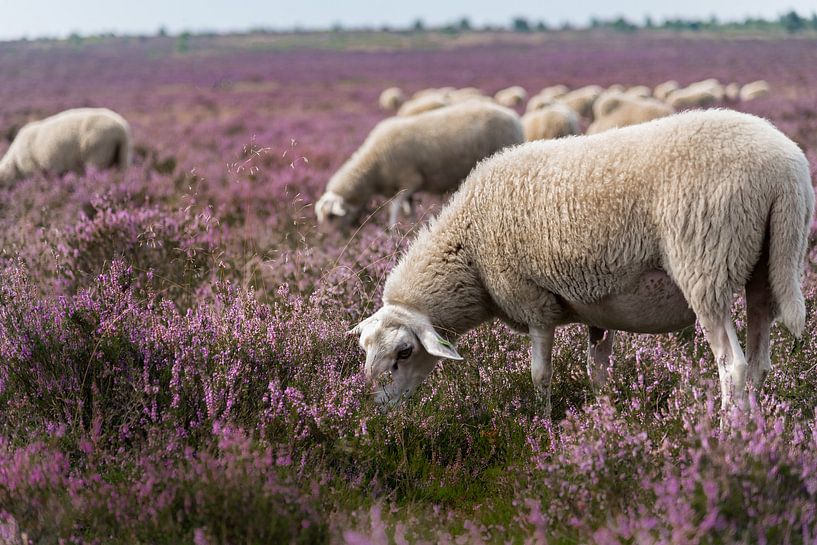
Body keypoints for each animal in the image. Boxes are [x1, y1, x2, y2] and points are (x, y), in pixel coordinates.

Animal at [312, 102, 524, 227]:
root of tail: (513, 116)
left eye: (331, 217)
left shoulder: (409, 180)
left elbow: (395, 207)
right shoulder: (406, 187)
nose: (335, 242)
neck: (373, 166)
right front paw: (413, 226)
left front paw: (392, 229)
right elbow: (410, 207)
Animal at [350, 109, 808, 420]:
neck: (470, 253)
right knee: (760, 363)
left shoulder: (532, 300)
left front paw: (543, 423)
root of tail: (785, 171)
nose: (375, 408)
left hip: (706, 267)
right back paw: (754, 433)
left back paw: (726, 435)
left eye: (404, 352)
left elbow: (539, 374)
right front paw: (603, 421)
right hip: (768, 270)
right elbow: (597, 371)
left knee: (733, 367)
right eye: (364, 350)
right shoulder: (599, 309)